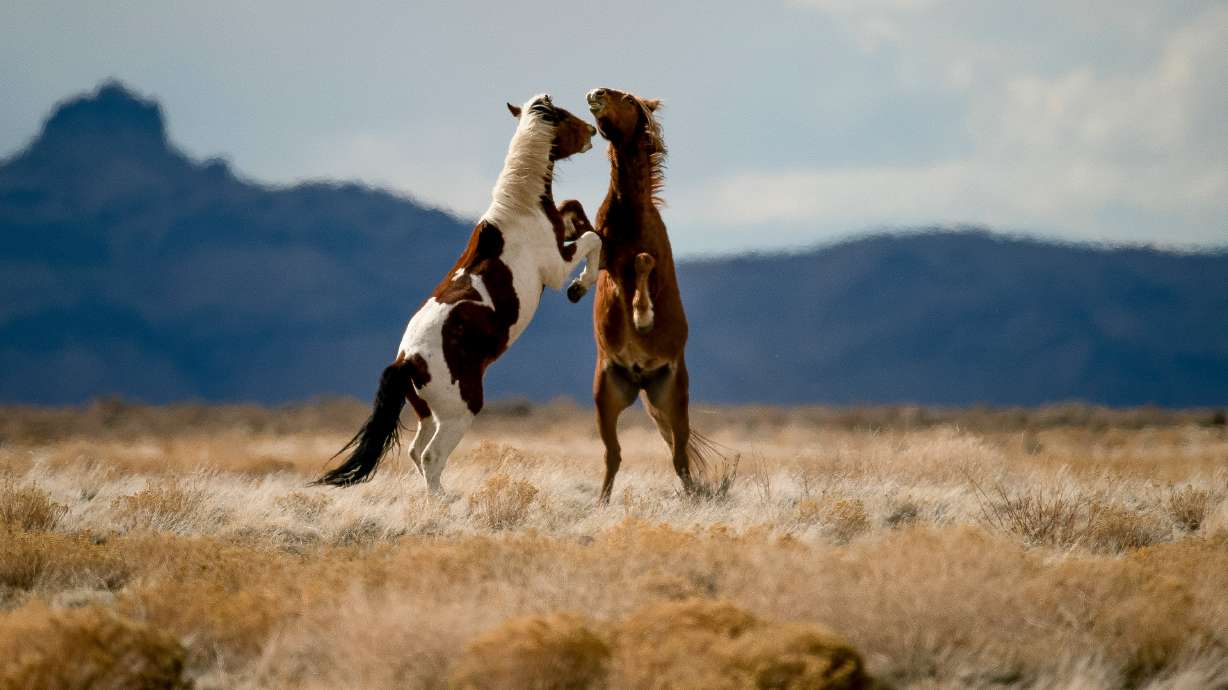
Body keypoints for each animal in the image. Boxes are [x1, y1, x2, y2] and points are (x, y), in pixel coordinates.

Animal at [315, 94, 601, 494]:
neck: (519, 211)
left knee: (416, 453)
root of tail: (407, 361)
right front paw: (580, 288)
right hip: (459, 412)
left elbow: (574, 211)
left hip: (428, 414)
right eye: (563, 116)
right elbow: (592, 239)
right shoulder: (556, 268)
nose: (592, 130)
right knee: (431, 456)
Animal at [582, 87, 706, 502]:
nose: (594, 94)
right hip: (607, 396)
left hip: (673, 398)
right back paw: (601, 504)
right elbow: (589, 248)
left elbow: (642, 262)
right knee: (614, 455)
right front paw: (577, 285)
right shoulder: (604, 252)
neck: (628, 215)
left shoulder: (651, 259)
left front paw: (643, 316)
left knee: (679, 455)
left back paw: (694, 495)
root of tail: (640, 379)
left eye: (625, 98)